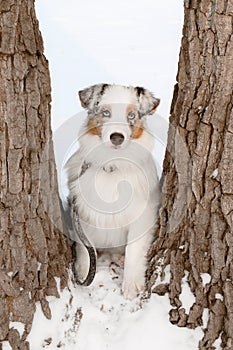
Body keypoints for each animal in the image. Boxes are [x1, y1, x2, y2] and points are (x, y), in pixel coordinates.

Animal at [65, 83, 160, 300]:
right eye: (106, 113)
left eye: (131, 115)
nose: (117, 137)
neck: (112, 164)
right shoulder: (82, 211)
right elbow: (85, 247)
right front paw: (83, 272)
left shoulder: (143, 213)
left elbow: (134, 247)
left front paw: (132, 284)